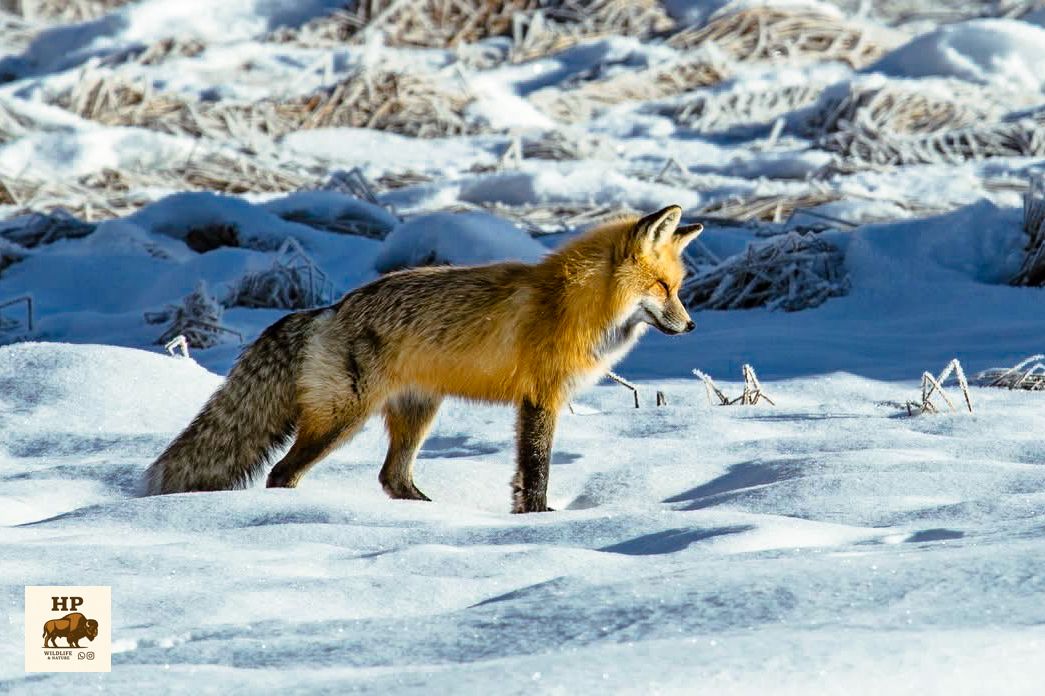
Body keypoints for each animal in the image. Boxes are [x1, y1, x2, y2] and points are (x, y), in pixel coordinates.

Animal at [144, 205, 703, 512]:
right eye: (663, 287)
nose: (692, 326)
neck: (573, 305)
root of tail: (331, 308)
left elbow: (523, 477)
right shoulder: (540, 399)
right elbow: (537, 472)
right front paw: (540, 520)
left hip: (417, 413)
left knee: (391, 479)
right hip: (342, 419)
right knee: (283, 472)